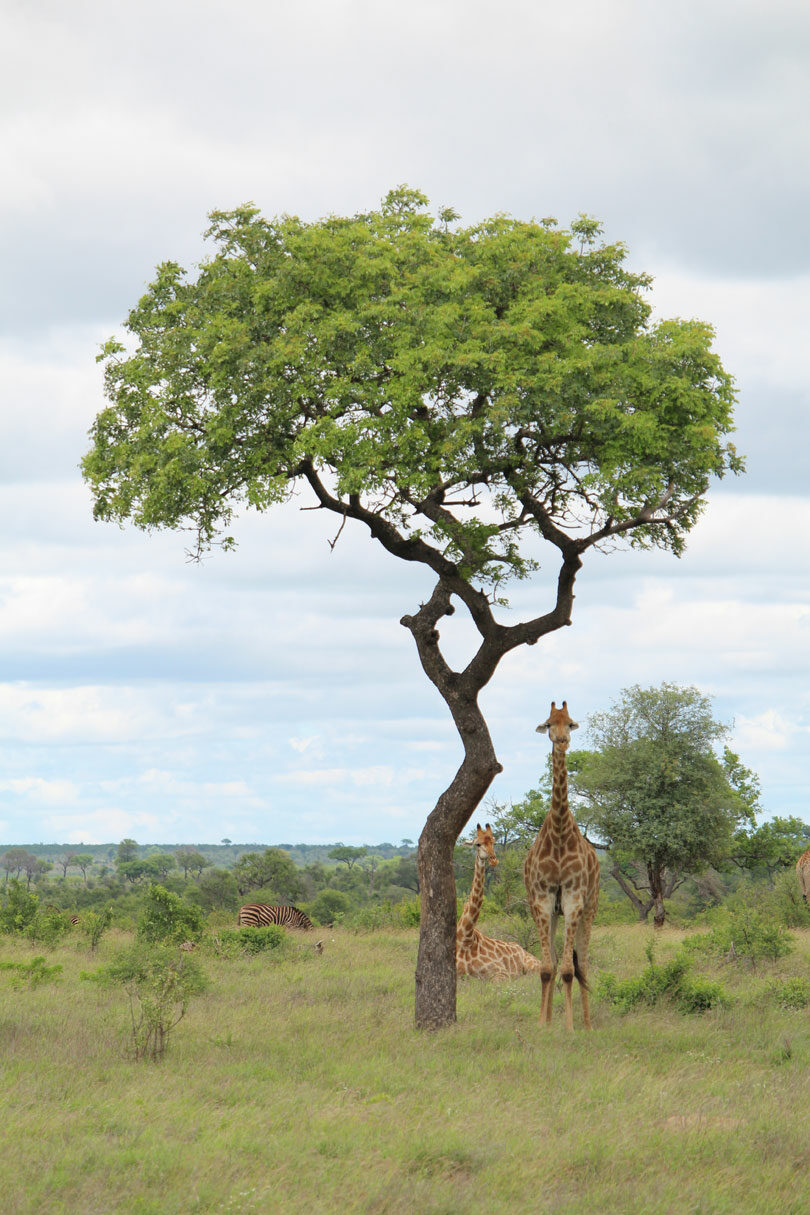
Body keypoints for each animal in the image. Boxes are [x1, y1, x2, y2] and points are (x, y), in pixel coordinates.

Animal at [456, 821, 544, 981]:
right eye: (477, 844)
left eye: (493, 842)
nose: (494, 860)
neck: (465, 937)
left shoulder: (501, 973)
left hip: (533, 966)